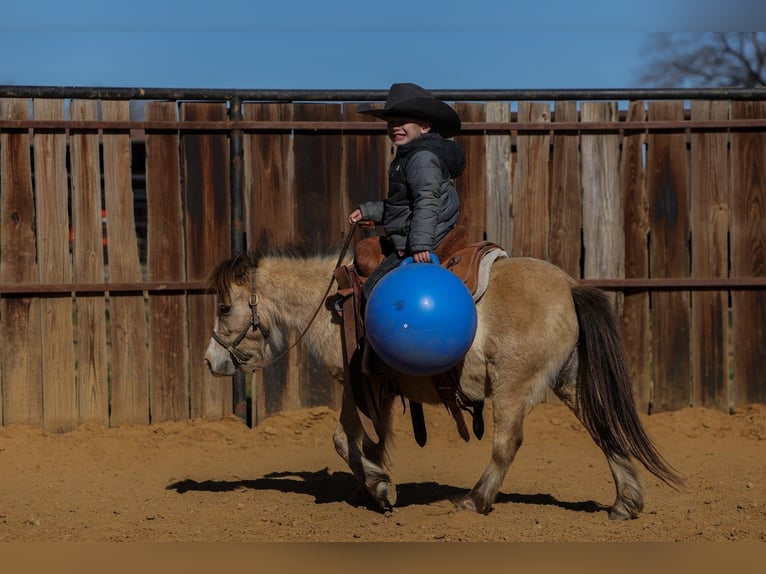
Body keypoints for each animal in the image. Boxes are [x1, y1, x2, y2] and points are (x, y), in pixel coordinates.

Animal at [203, 246, 682, 519]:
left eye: (225, 307)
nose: (211, 361)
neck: (332, 303)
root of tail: (569, 286)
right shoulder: (372, 391)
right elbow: (367, 441)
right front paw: (370, 486)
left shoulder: (353, 384)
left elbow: (344, 440)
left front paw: (380, 488)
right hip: (569, 381)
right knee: (603, 430)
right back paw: (625, 502)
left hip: (511, 386)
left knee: (507, 443)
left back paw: (476, 499)